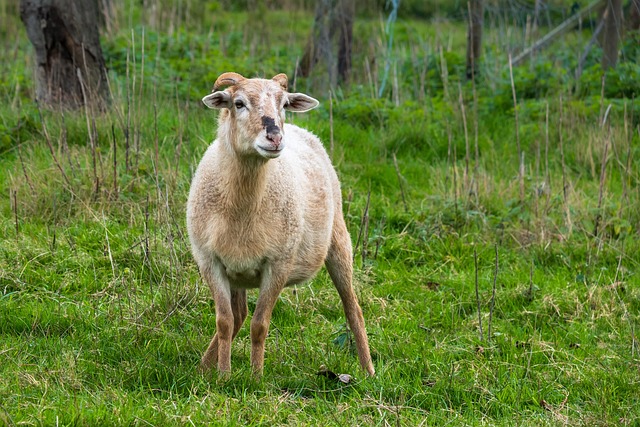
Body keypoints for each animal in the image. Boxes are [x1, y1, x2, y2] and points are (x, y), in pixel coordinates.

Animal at [186, 72, 375, 377]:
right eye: (238, 103)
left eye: (284, 104)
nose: (275, 137)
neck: (243, 205)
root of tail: (301, 130)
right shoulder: (210, 261)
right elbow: (225, 322)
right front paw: (223, 376)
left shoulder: (278, 264)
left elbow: (259, 325)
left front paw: (255, 377)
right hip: (236, 268)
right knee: (238, 315)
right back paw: (205, 366)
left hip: (338, 239)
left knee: (352, 308)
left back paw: (368, 371)